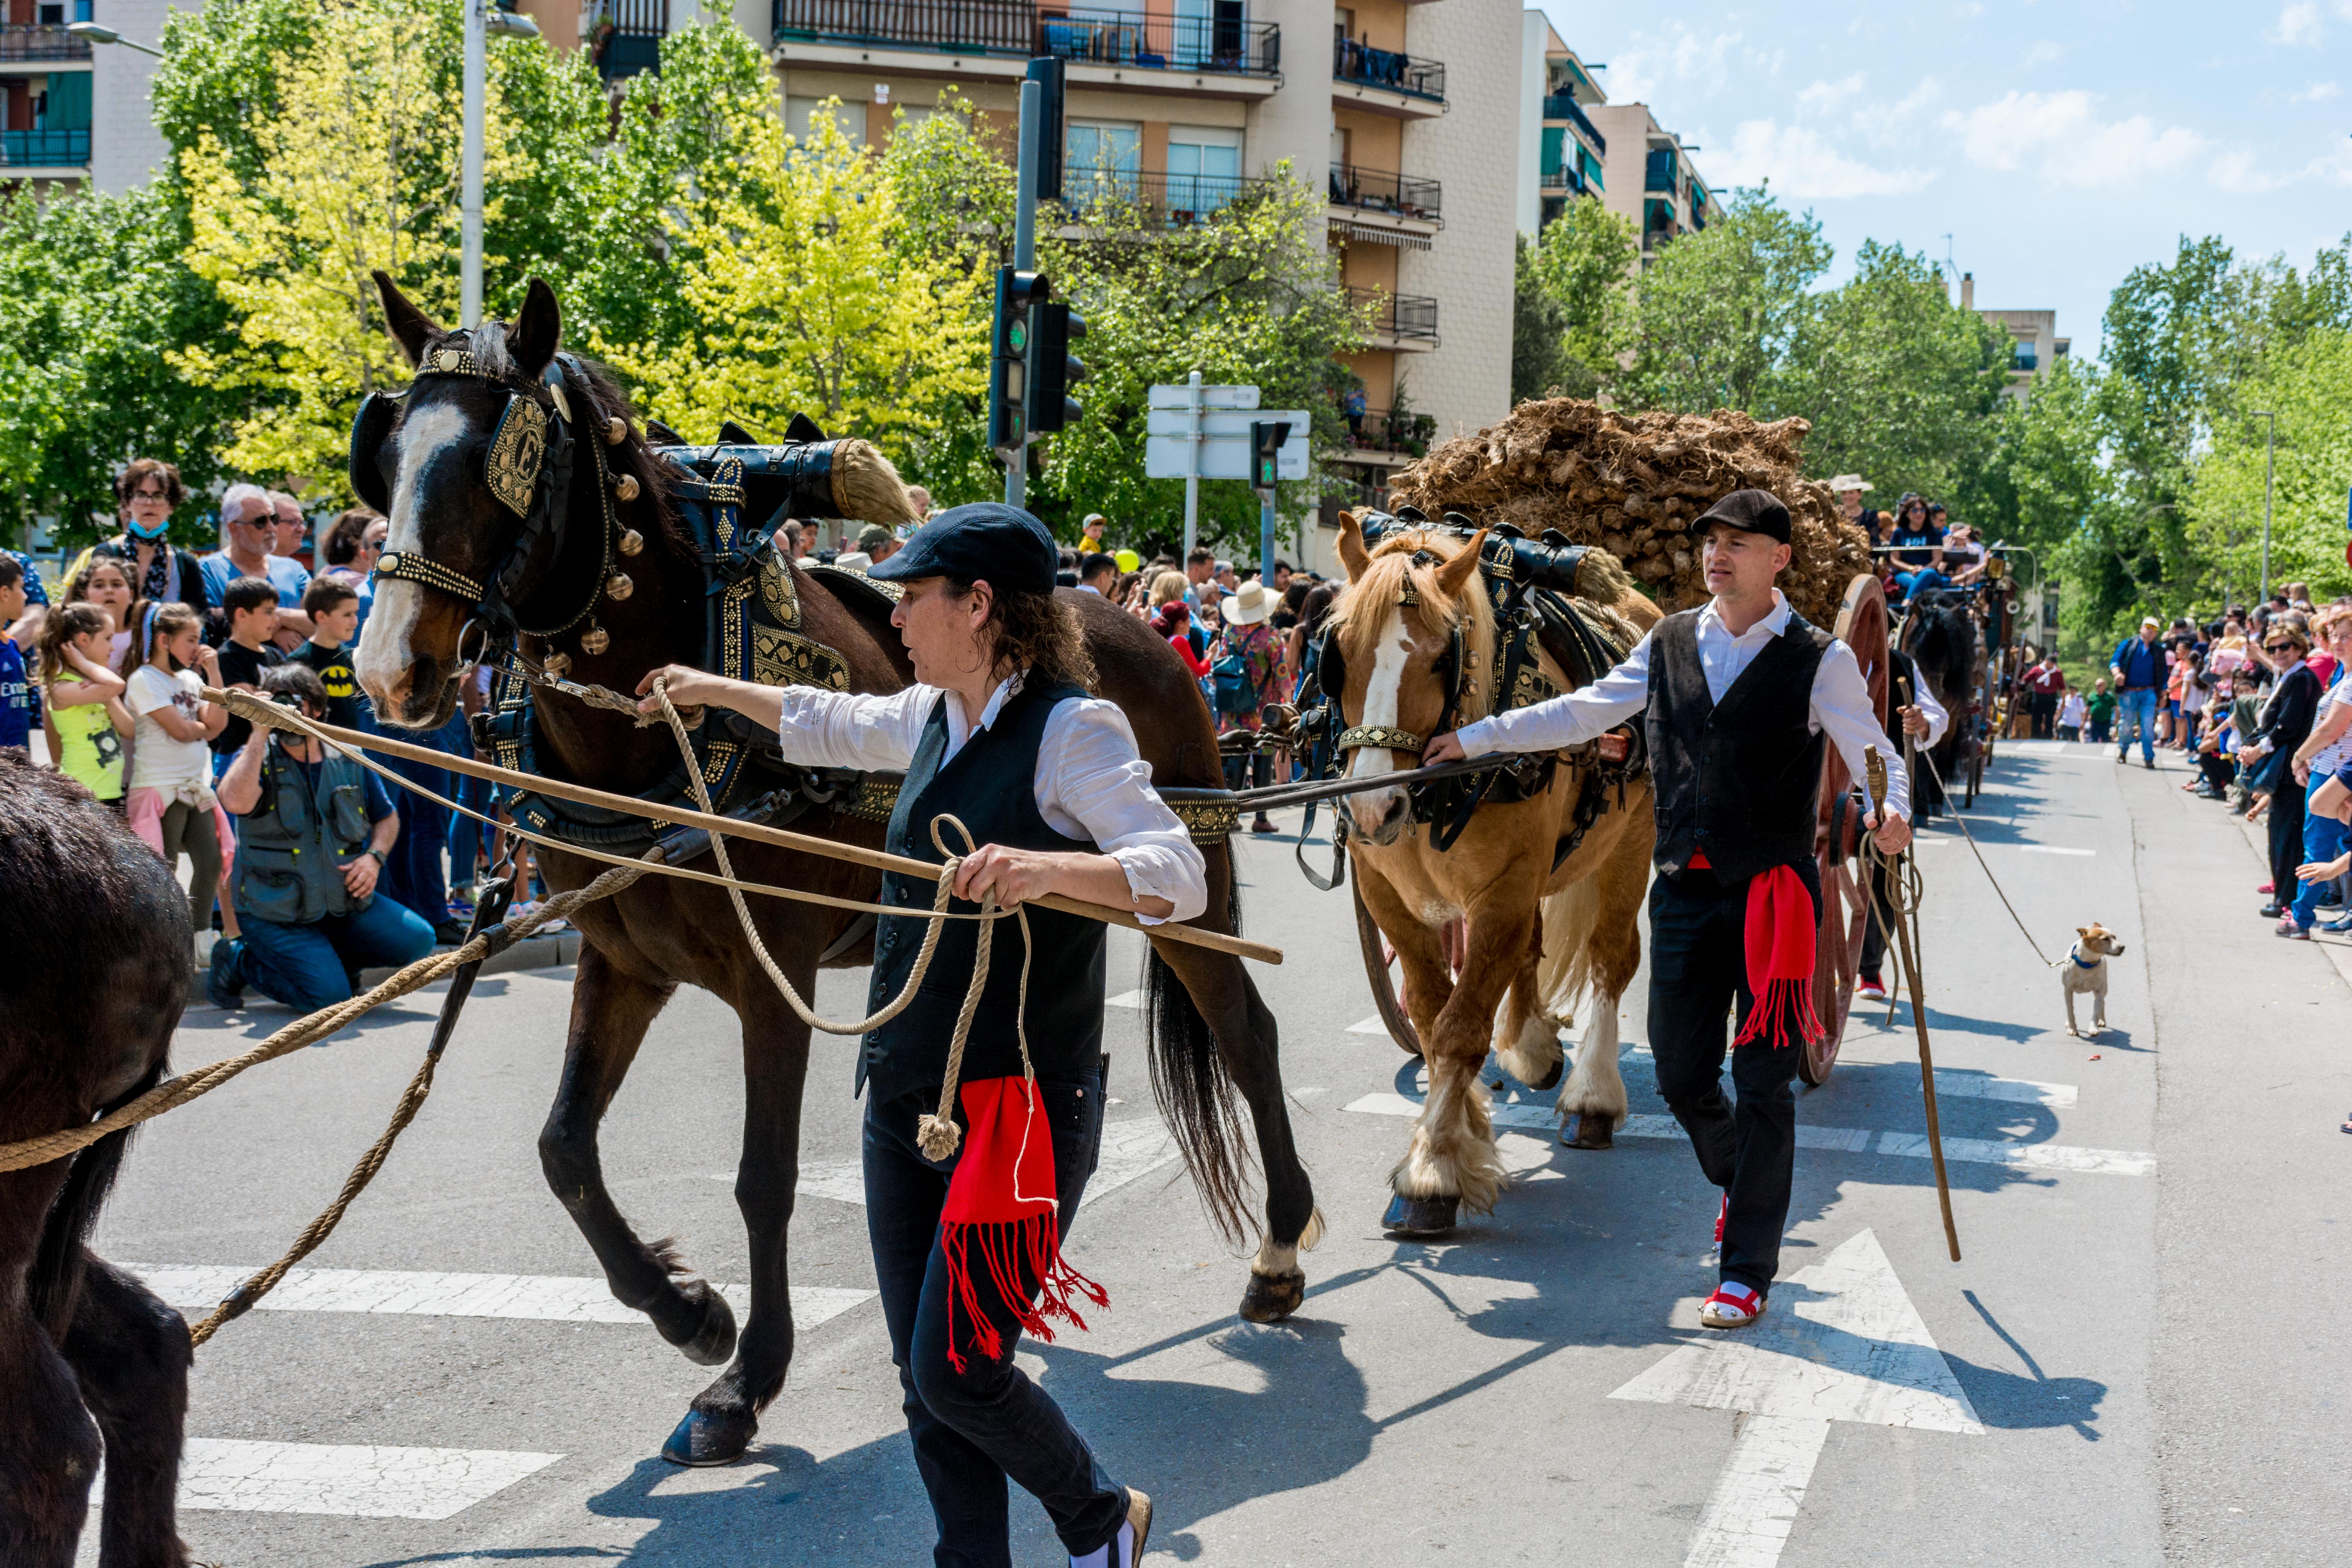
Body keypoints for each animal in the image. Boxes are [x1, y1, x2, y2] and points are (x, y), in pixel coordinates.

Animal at [350, 276, 1327, 1467]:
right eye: (387, 451)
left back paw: (1278, 1252)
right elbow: (565, 1149)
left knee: (1243, 1033)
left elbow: (763, 1176)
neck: (669, 727)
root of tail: (1131, 627)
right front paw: (686, 1309)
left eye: (504, 460)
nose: (390, 669)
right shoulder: (620, 959)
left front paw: (744, 1380)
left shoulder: (774, 976)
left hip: (1186, 888)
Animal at [1336, 522, 1665, 1232]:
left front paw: (1431, 1170)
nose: (1371, 809)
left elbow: (1461, 1030)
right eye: (1338, 652)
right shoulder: (1388, 896)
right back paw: (1534, 1047)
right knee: (1531, 950)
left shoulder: (1503, 892)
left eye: (1441, 659)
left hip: (1631, 841)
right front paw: (1464, 1131)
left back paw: (1591, 1097)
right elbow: (1432, 1014)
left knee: (1612, 957)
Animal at [2070, 926, 2126, 1034]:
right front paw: (2072, 1028)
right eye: (2105, 939)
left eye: (2115, 937)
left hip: (2104, 988)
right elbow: (2070, 1009)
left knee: (2102, 1002)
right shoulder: (2067, 990)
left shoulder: (2099, 990)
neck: (2087, 964)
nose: (2122, 947)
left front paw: (2093, 1028)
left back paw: (2102, 1020)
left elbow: (2096, 1011)